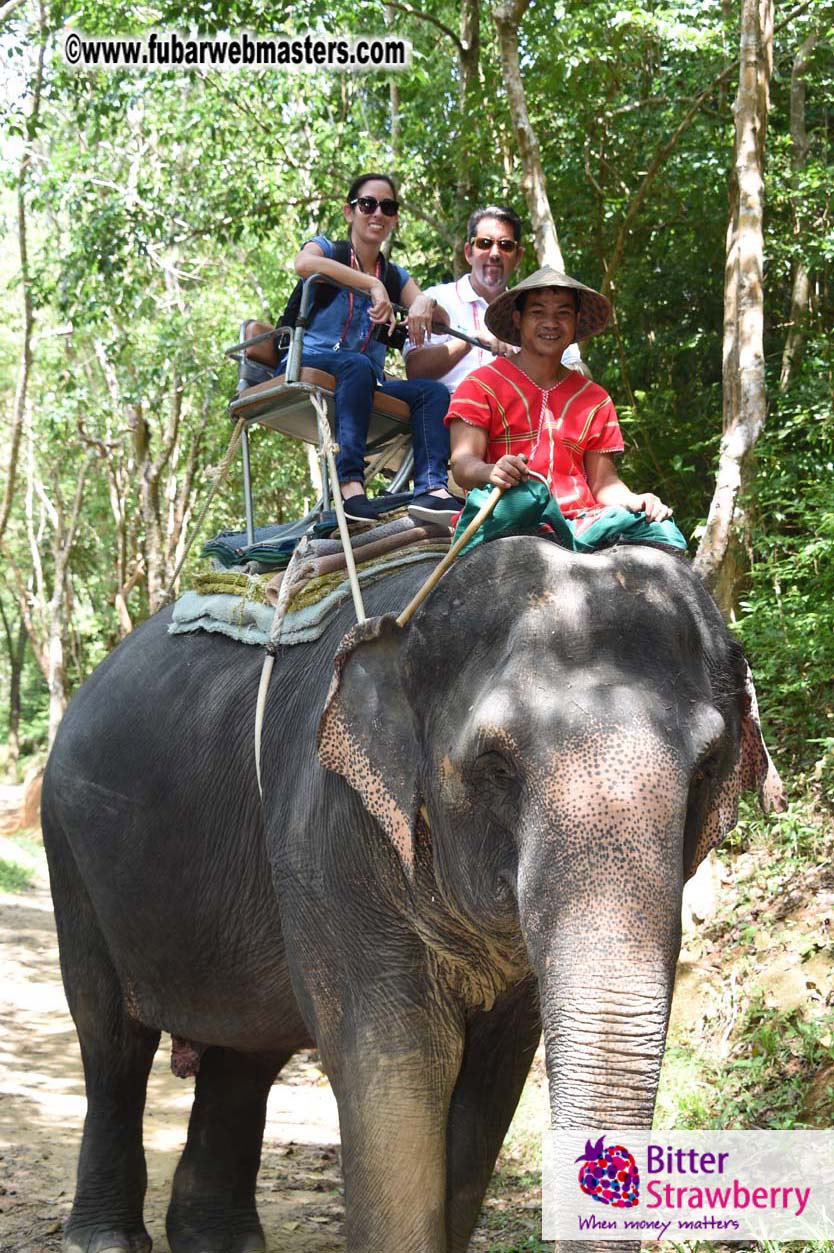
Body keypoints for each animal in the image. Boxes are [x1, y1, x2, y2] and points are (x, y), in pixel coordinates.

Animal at [41, 535, 782, 1253]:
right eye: (497, 766)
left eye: (707, 767)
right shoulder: (331, 827)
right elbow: (401, 1061)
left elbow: (489, 1076)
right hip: (70, 851)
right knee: (111, 1036)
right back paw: (104, 1240)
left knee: (246, 1052)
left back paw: (222, 1242)